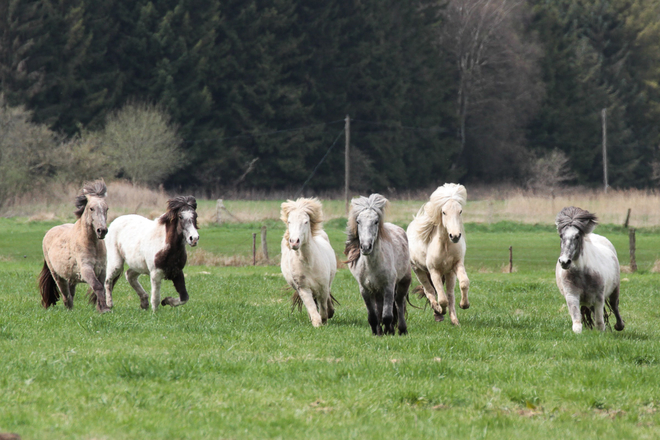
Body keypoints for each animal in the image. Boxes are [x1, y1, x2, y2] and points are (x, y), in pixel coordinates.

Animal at [39, 180, 109, 312]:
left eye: (106, 208)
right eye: (91, 208)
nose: (102, 231)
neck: (92, 245)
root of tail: (49, 232)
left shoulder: (102, 269)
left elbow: (101, 287)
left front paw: (101, 308)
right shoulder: (86, 268)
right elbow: (97, 286)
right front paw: (105, 309)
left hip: (71, 277)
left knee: (70, 293)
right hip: (57, 275)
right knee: (65, 295)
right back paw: (69, 309)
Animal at [282, 198, 338, 328]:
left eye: (306, 222)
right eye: (289, 221)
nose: (294, 242)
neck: (309, 263)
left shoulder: (323, 287)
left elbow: (323, 308)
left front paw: (326, 319)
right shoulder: (303, 288)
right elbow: (312, 308)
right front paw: (317, 323)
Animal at [342, 194, 410, 336]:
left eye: (376, 221)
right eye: (358, 221)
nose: (365, 247)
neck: (371, 266)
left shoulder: (389, 287)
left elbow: (387, 315)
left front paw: (389, 332)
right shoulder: (365, 290)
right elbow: (373, 316)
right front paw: (376, 333)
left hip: (403, 282)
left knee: (399, 303)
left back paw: (402, 330)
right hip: (377, 291)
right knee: (379, 308)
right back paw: (381, 330)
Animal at [408, 181, 470, 324]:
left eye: (460, 211)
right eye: (444, 212)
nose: (455, 236)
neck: (445, 245)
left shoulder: (457, 264)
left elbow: (464, 283)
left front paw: (464, 304)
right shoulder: (434, 271)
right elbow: (441, 299)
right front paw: (440, 310)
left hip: (449, 273)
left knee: (450, 294)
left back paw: (454, 321)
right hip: (419, 270)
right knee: (429, 291)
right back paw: (438, 312)